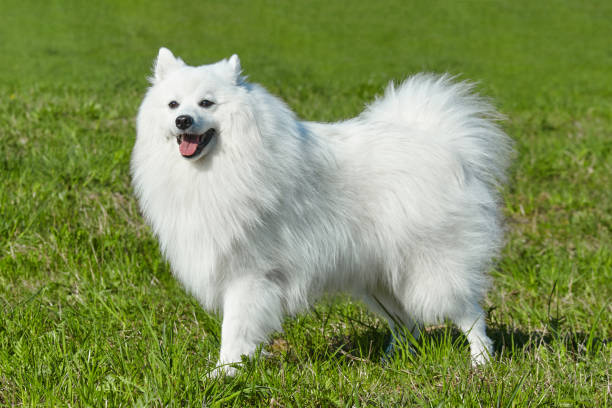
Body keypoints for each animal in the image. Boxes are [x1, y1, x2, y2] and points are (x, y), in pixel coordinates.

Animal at [133, 47, 512, 376]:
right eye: (172, 104)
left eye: (206, 103)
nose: (183, 120)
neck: (218, 169)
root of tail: (444, 143)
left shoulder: (249, 275)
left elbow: (234, 329)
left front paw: (223, 373)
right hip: (382, 280)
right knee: (407, 324)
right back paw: (391, 361)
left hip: (432, 269)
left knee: (470, 315)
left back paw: (481, 362)